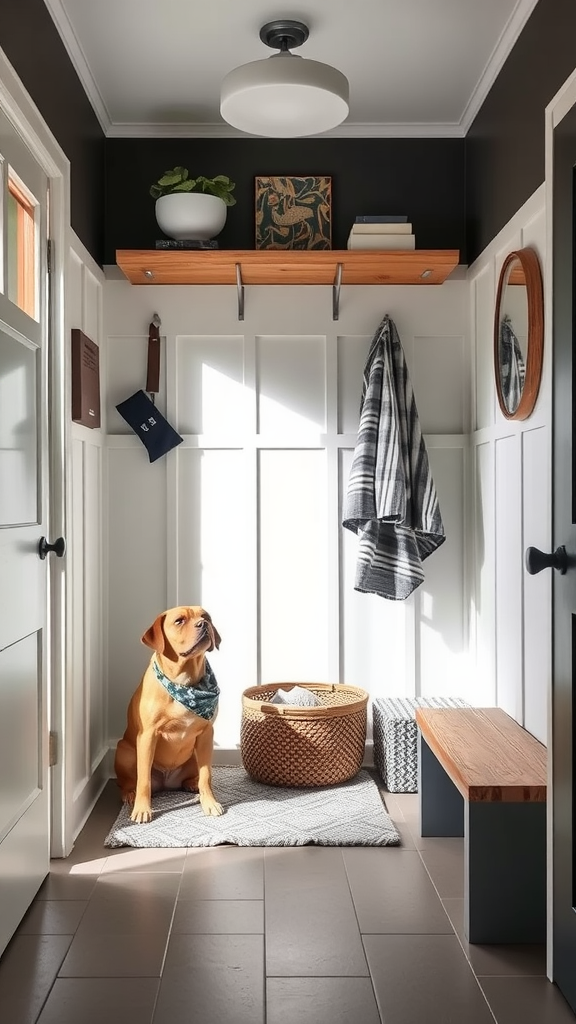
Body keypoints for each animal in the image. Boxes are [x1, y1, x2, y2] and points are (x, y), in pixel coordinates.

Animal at [113, 606, 222, 823]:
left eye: (206, 616)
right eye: (179, 621)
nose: (204, 624)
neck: (184, 683)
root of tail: (167, 782)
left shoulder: (206, 735)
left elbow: (207, 775)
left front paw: (209, 802)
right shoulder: (148, 736)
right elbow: (143, 779)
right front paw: (142, 809)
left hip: (195, 754)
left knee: (194, 776)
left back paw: (191, 783)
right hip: (124, 751)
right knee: (129, 781)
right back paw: (130, 794)